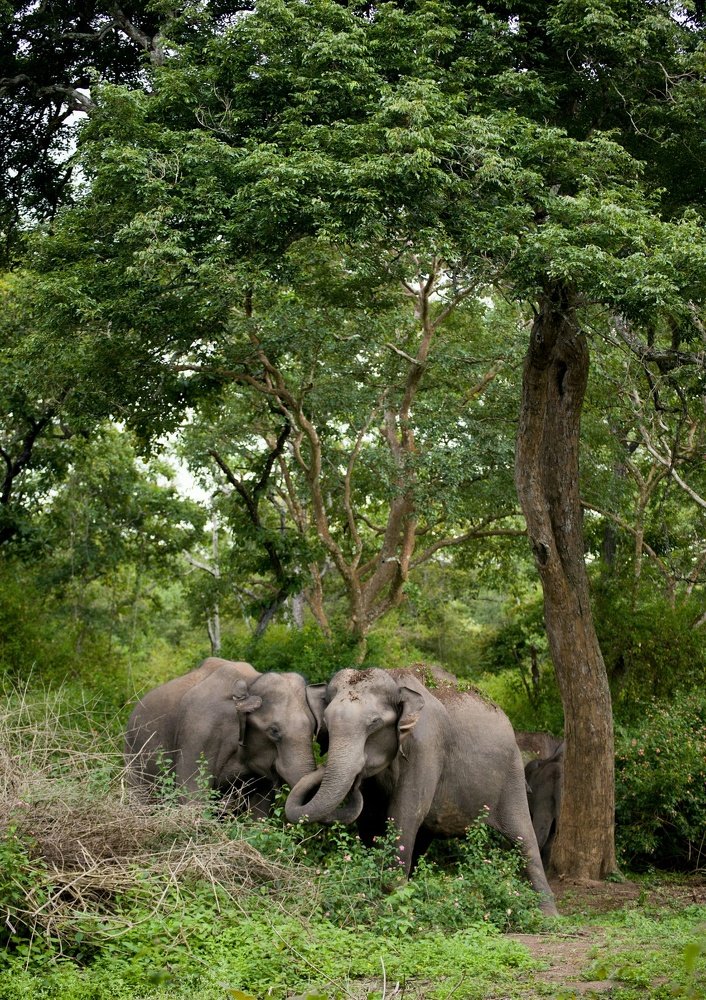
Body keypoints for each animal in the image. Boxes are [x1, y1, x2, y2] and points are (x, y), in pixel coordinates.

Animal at [124, 658, 326, 812]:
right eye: (274, 731)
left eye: (314, 730)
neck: (251, 682)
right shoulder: (198, 732)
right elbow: (192, 796)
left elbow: (260, 808)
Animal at [285, 667, 557, 915]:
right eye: (326, 724)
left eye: (374, 723)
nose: (355, 779)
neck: (396, 681)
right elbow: (370, 819)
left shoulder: (425, 745)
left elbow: (405, 813)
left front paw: (393, 901)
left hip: (511, 776)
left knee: (524, 837)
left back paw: (548, 916)